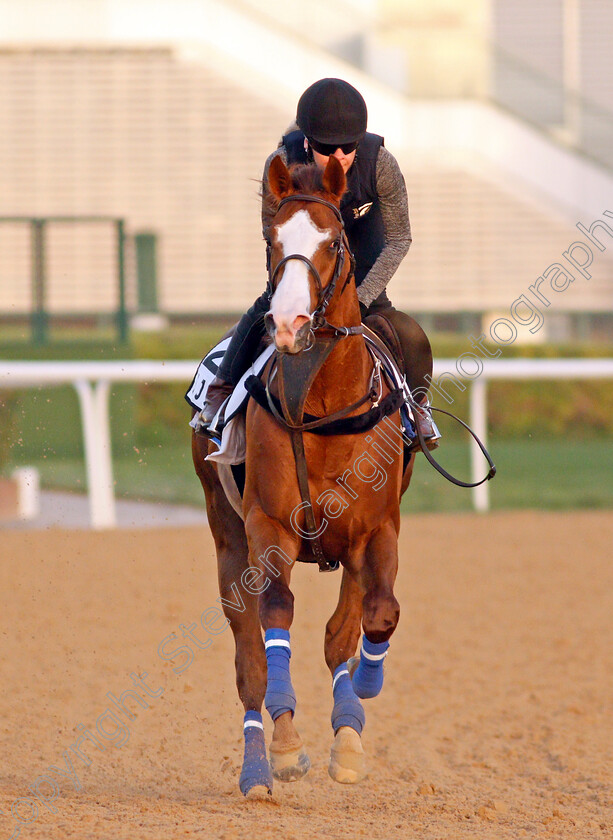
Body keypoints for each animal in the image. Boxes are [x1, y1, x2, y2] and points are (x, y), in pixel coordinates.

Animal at [194, 156, 414, 796]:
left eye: (334, 240)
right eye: (272, 240)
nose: (289, 322)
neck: (324, 410)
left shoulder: (377, 529)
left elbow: (375, 615)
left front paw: (359, 703)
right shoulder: (269, 527)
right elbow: (276, 615)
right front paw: (289, 748)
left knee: (343, 630)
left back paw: (347, 726)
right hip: (227, 537)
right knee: (248, 660)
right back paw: (256, 770)